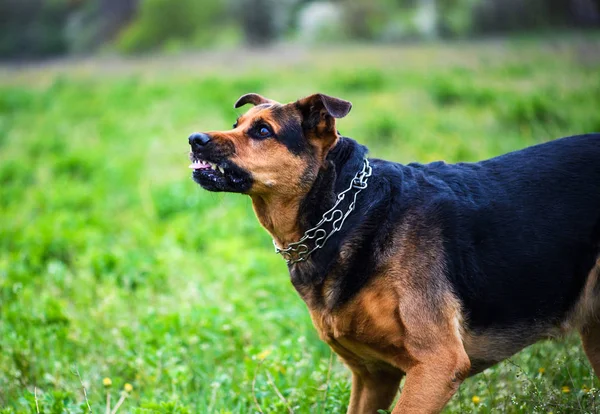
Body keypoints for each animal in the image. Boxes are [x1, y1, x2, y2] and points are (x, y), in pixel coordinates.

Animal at [188, 94, 600, 414]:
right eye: (237, 123)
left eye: (263, 131)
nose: (194, 139)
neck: (348, 211)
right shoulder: (374, 376)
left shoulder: (437, 366)